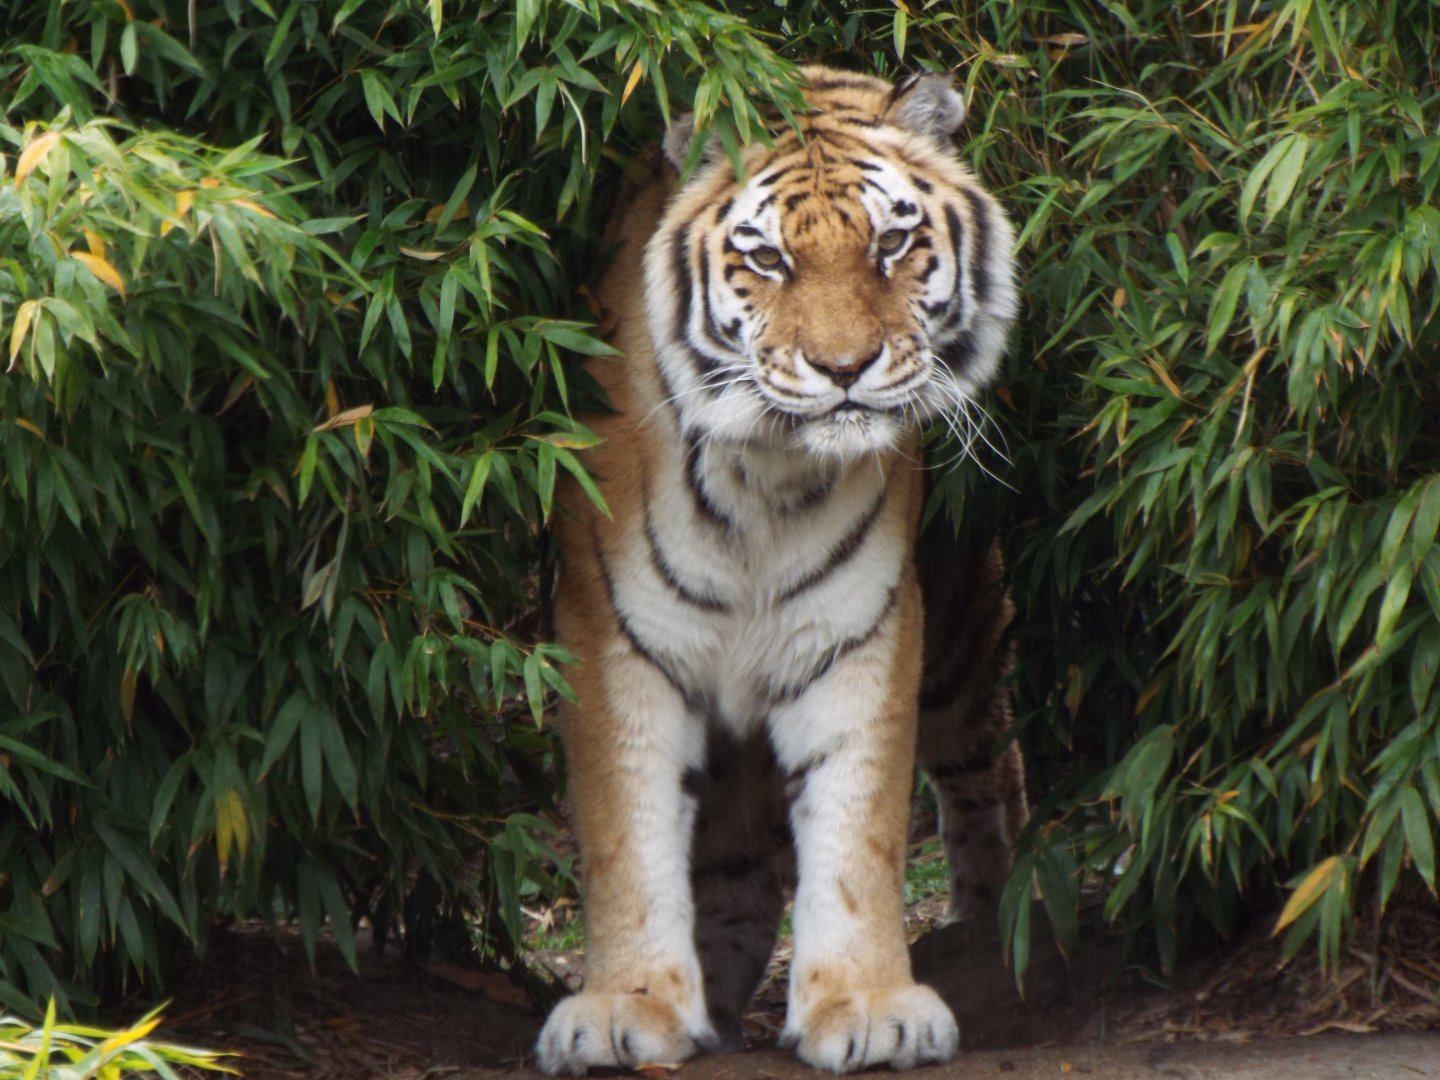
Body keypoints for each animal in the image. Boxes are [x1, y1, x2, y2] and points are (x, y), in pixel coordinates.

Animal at [536, 65, 1025, 1075]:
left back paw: (983, 929)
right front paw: (628, 1007)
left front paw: (868, 1004)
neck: (766, 473)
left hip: (965, 644)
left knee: (988, 772)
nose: (843, 368)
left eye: (892, 243)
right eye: (765, 259)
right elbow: (623, 829)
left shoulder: (860, 630)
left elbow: (860, 824)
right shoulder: (612, 637)